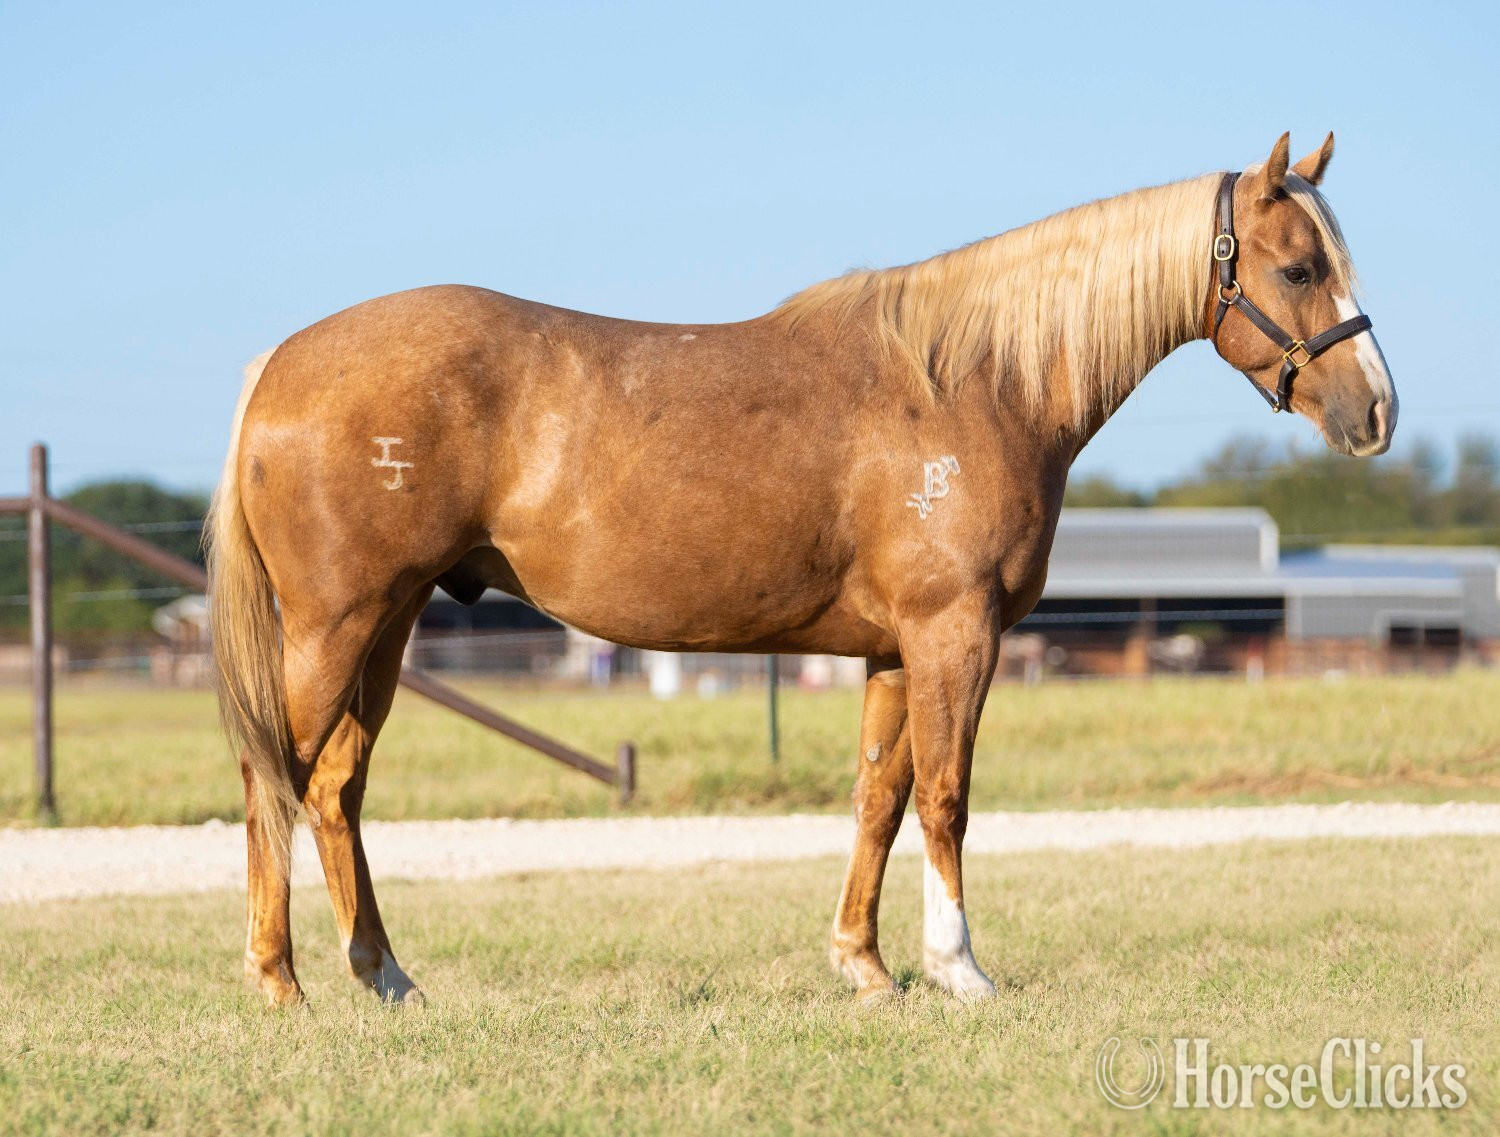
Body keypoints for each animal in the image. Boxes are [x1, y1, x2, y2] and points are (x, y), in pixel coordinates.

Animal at [207, 132, 1397, 1007]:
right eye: (1298, 267)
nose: (1376, 414)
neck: (971, 385)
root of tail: (280, 363)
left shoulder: (893, 651)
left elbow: (880, 796)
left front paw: (866, 966)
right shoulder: (954, 633)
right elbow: (948, 797)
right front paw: (961, 969)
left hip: (392, 623)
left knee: (336, 787)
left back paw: (386, 977)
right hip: (336, 624)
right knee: (278, 779)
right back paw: (280, 983)